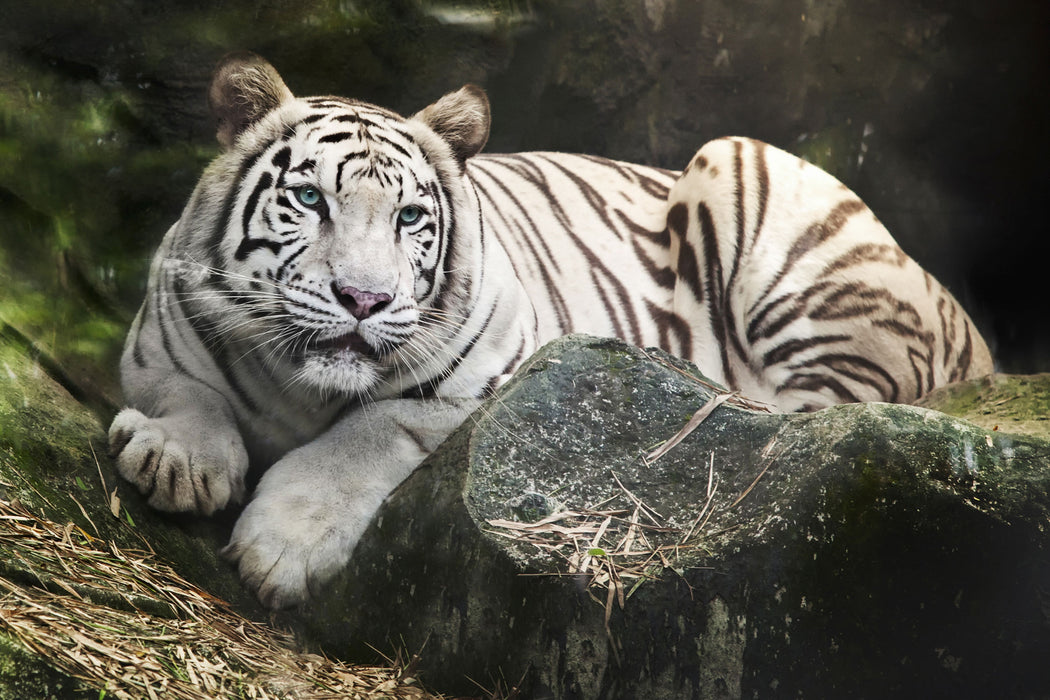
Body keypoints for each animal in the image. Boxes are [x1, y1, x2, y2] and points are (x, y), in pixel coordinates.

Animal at [106, 54, 991, 608]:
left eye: (409, 218)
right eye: (310, 200)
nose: (363, 298)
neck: (303, 386)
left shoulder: (482, 375)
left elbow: (370, 432)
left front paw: (282, 548)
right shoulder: (158, 335)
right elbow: (184, 391)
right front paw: (177, 459)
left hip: (757, 181)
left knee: (814, 417)